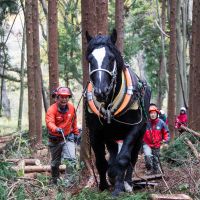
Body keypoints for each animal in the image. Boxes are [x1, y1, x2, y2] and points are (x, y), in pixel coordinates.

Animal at [85, 29, 152, 195]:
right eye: (90, 59)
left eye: (111, 58)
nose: (100, 91)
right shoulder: (95, 131)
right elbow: (101, 161)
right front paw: (103, 185)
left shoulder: (135, 128)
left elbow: (124, 159)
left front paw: (119, 187)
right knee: (113, 151)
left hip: (141, 134)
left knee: (132, 157)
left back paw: (127, 182)